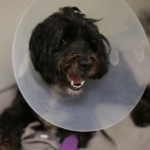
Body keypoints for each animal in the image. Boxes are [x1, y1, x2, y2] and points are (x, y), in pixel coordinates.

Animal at [0, 6, 110, 149]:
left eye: (90, 42)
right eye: (63, 41)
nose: (86, 64)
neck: (56, 91)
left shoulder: (83, 123)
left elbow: (73, 138)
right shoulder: (17, 110)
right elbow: (8, 124)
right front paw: (7, 143)